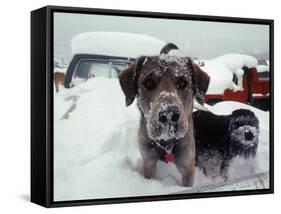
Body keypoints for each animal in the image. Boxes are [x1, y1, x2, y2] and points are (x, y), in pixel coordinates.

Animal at [117, 55, 208, 187]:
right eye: (149, 83)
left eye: (182, 82)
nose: (169, 114)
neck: (166, 143)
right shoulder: (148, 161)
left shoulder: (188, 165)